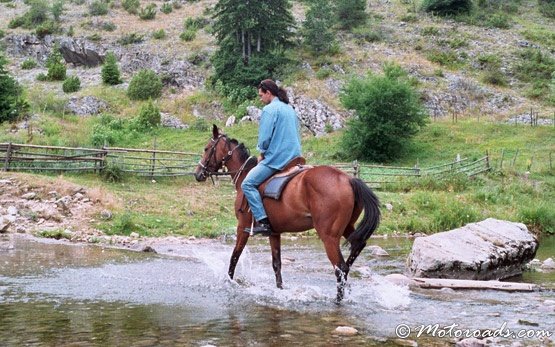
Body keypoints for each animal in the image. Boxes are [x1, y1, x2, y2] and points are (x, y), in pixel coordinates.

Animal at [193, 126, 380, 304]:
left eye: (207, 148)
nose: (198, 173)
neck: (244, 176)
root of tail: (348, 179)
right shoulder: (274, 233)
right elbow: (277, 264)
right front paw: (280, 290)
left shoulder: (242, 228)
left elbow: (234, 257)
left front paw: (229, 282)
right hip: (347, 227)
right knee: (356, 249)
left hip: (329, 237)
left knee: (340, 268)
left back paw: (338, 300)